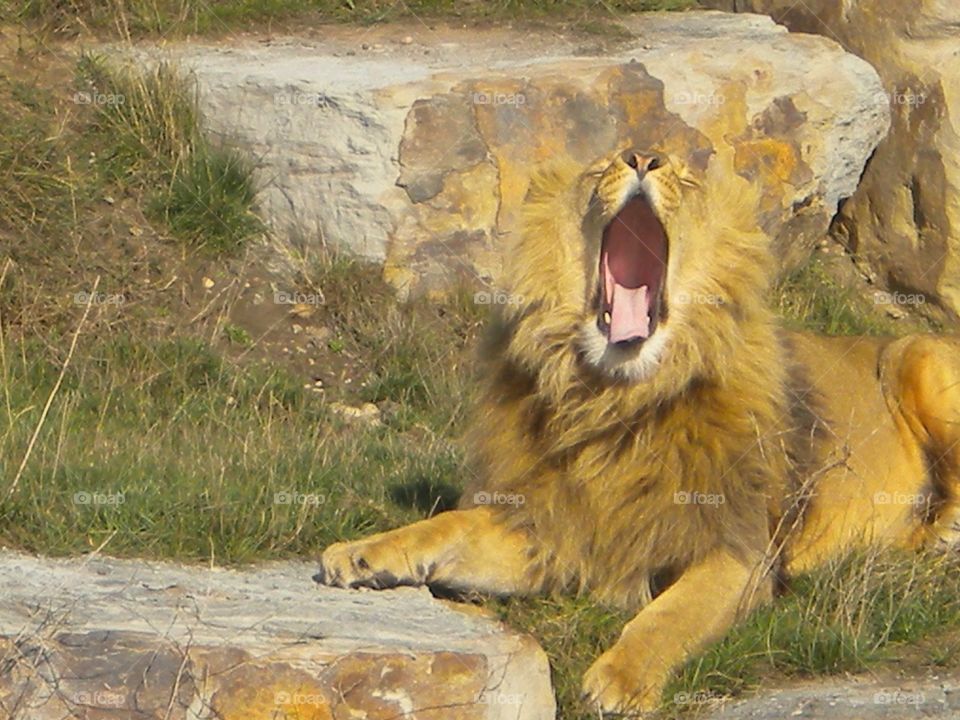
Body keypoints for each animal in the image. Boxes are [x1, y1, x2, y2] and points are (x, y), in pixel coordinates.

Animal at [316, 146, 960, 716]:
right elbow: (448, 526)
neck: (615, 400)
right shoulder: (552, 527)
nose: (642, 157)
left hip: (917, 356)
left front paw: (620, 680)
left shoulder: (739, 552)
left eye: (684, 176)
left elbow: (669, 617)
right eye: (601, 166)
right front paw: (362, 553)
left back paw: (921, 540)